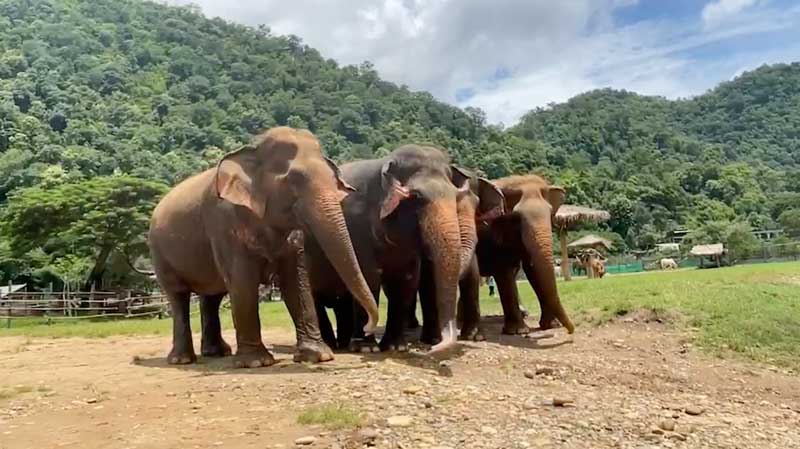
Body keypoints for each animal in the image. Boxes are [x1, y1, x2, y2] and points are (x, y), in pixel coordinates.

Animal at [148, 126, 380, 368]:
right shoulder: (224, 224)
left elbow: (296, 280)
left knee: (212, 296)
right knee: (178, 297)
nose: (368, 327)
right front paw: (256, 363)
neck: (252, 150)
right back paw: (182, 359)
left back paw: (217, 352)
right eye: (294, 180)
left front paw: (318, 356)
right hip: (160, 254)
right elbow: (243, 282)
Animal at [304, 144, 472, 354]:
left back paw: (342, 343)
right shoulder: (354, 227)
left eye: (455, 197)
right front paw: (366, 348)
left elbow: (406, 281)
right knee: (315, 297)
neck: (384, 164)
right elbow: (368, 277)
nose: (433, 347)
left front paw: (396, 347)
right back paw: (332, 345)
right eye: (417, 197)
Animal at [468, 175, 576, 336]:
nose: (570, 331)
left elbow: (533, 270)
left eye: (550, 213)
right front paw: (518, 331)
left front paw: (551, 326)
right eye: (516, 217)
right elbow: (504, 272)